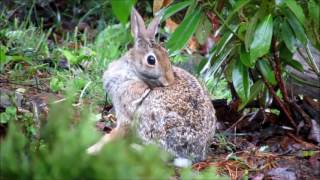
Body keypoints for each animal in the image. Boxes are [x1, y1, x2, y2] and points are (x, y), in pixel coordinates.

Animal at [87, 8, 216, 162]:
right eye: (151, 60)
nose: (169, 80)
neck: (132, 69)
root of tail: (194, 154)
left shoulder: (125, 113)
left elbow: (115, 133)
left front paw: (92, 149)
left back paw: (135, 148)